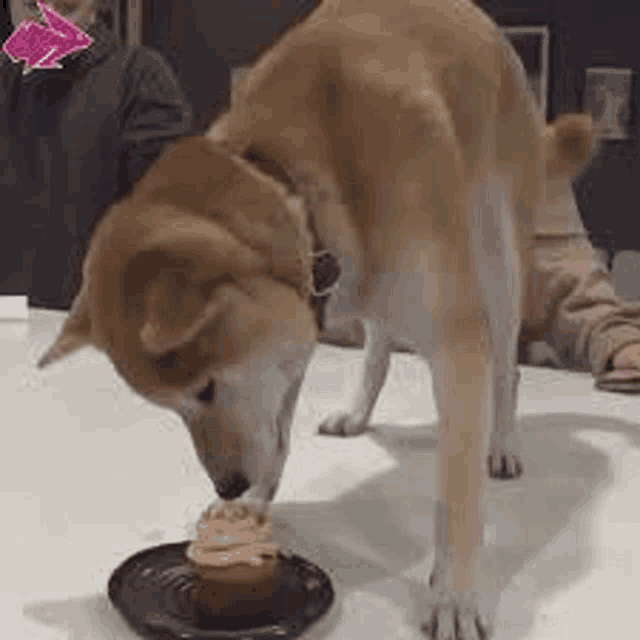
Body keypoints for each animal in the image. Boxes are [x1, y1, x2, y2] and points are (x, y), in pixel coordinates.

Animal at [40, 2, 596, 636]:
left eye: (204, 389)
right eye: (172, 407)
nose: (227, 484)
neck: (299, 174)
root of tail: (488, 29)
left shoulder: (458, 346)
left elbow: (457, 497)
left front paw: (455, 592)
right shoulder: (287, 339)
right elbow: (275, 433)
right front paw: (252, 506)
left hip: (499, 261)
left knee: (507, 370)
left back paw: (501, 444)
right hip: (384, 291)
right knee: (379, 346)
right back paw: (357, 412)